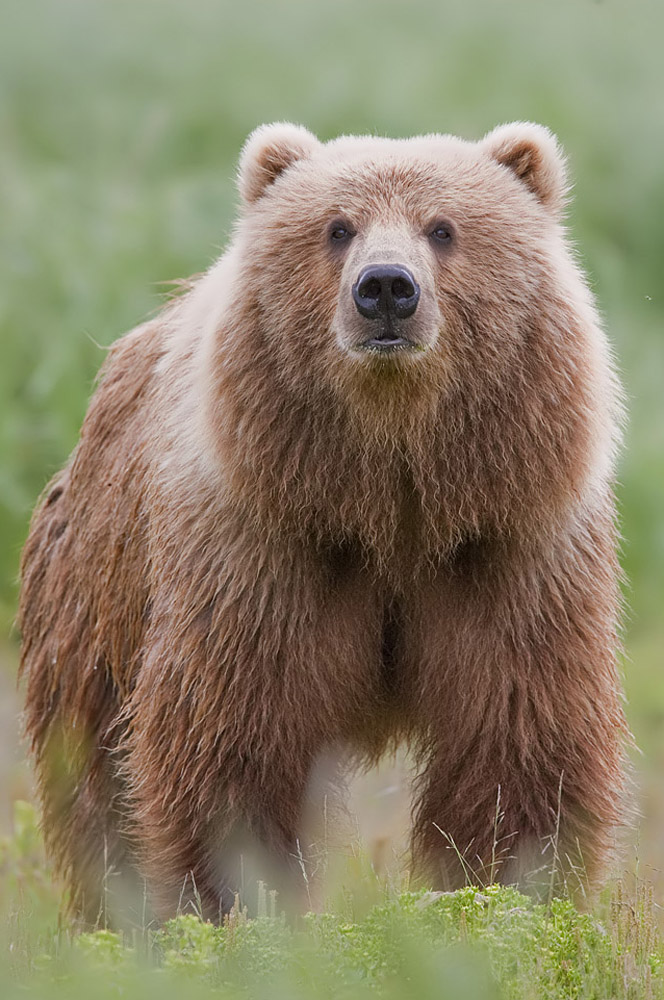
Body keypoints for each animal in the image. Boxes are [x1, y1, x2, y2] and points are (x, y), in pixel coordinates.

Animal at [19, 121, 629, 926]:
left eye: (442, 228)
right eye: (338, 228)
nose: (386, 288)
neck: (386, 498)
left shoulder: (508, 547)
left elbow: (518, 738)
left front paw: (503, 897)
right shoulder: (263, 551)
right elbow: (236, 743)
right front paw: (241, 907)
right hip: (96, 597)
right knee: (95, 785)